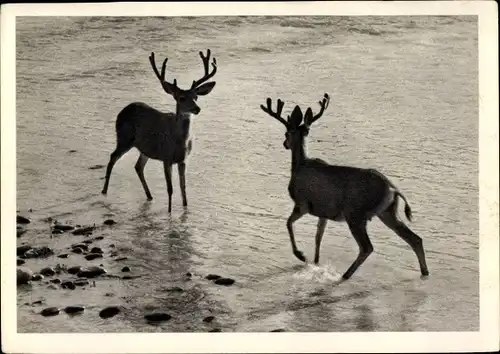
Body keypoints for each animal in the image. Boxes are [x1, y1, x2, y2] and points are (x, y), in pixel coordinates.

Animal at [101, 48, 217, 212]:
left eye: (196, 97)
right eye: (181, 98)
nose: (197, 109)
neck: (179, 142)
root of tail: (124, 109)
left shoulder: (183, 160)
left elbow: (183, 188)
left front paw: (185, 208)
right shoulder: (166, 157)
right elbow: (170, 189)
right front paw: (169, 212)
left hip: (145, 148)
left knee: (138, 166)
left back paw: (149, 196)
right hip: (124, 137)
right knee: (113, 157)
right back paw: (104, 190)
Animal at [260, 93, 428, 280]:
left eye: (286, 133)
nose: (284, 143)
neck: (299, 166)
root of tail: (393, 189)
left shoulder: (302, 204)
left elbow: (289, 223)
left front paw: (301, 255)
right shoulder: (323, 212)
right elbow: (318, 236)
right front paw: (315, 261)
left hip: (356, 214)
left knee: (367, 247)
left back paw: (345, 275)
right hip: (387, 212)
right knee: (415, 239)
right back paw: (424, 272)